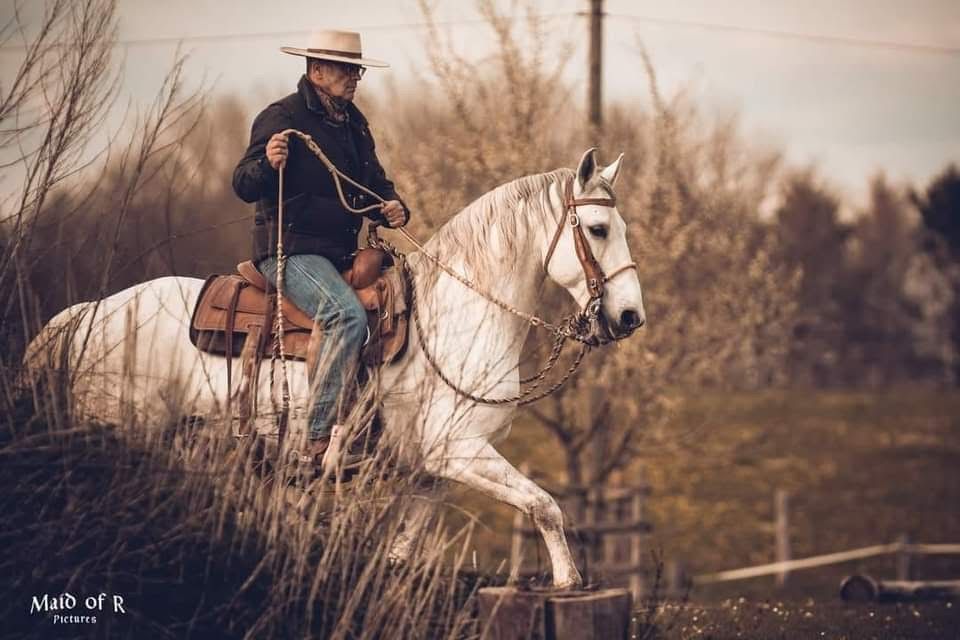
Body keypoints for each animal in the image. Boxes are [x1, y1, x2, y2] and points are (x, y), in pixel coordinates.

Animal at [24, 148, 644, 588]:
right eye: (598, 230)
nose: (630, 316)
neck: (458, 313)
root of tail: (84, 316)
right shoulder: (462, 451)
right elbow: (546, 506)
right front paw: (567, 582)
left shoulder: (430, 473)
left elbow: (401, 553)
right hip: (120, 434)